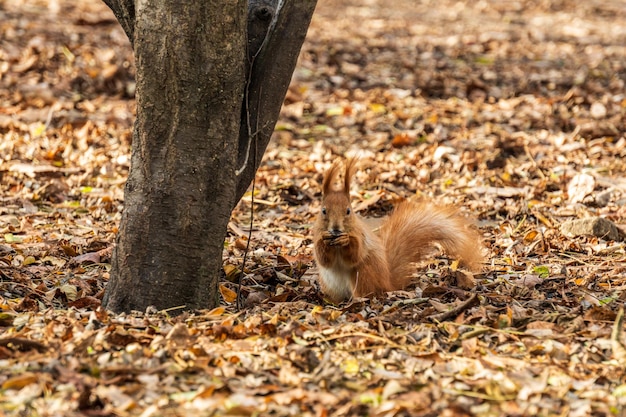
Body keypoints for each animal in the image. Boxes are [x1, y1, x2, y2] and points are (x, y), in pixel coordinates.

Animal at [312, 158, 482, 300]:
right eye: (323, 211)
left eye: (348, 211)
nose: (335, 229)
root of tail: (387, 283)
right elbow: (323, 258)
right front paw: (324, 240)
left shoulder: (360, 235)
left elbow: (355, 254)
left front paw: (346, 240)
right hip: (328, 284)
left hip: (363, 273)